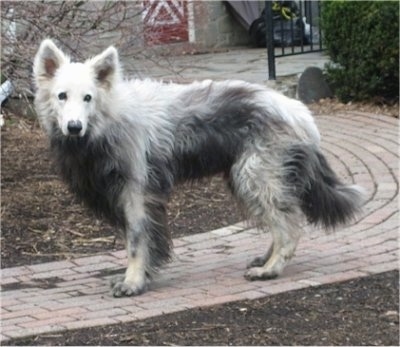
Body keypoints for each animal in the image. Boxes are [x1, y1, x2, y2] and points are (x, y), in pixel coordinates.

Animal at [32, 39, 364, 298]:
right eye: (62, 96)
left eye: (88, 97)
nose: (74, 127)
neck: (109, 119)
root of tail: (297, 110)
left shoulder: (136, 193)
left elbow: (137, 241)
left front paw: (134, 281)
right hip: (247, 179)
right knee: (281, 220)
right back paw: (266, 260)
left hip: (255, 178)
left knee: (289, 224)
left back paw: (272, 269)